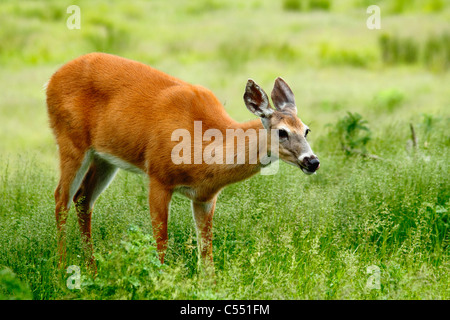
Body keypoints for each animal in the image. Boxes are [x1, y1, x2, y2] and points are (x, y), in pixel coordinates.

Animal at [45, 52, 318, 270]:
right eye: (282, 132)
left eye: (306, 130)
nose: (312, 161)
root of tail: (51, 80)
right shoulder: (158, 176)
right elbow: (161, 241)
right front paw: (159, 280)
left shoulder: (205, 197)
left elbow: (206, 250)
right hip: (71, 141)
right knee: (61, 198)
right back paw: (61, 270)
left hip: (104, 158)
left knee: (83, 198)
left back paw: (92, 269)